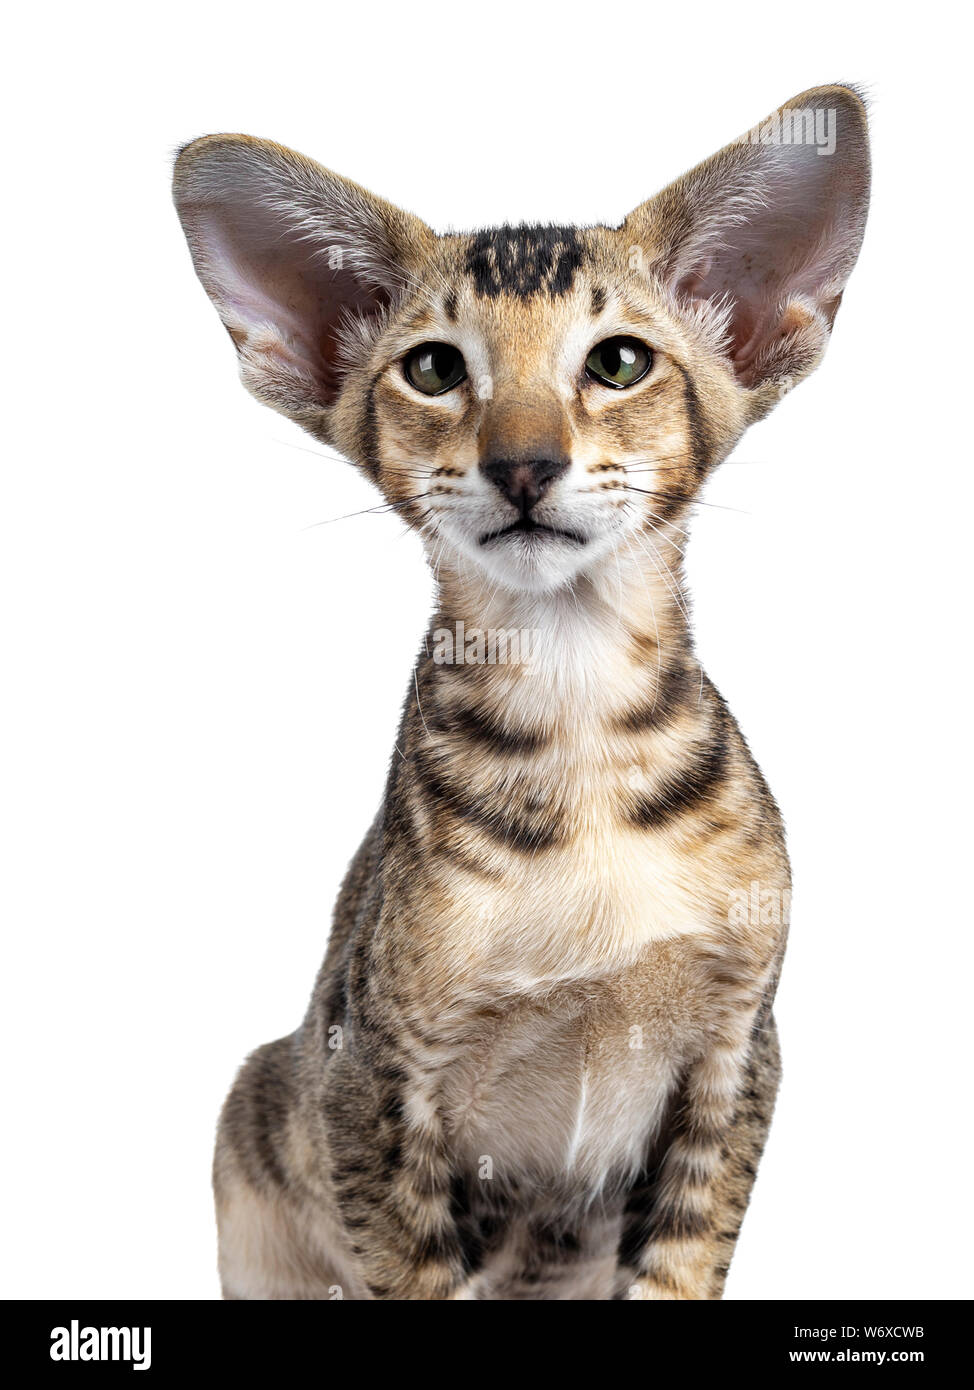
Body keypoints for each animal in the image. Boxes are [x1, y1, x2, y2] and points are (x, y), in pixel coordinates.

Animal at [172, 84, 867, 1301]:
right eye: (435, 369)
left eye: (620, 361)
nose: (525, 464)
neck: (576, 711)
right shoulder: (372, 1080)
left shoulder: (735, 1057)